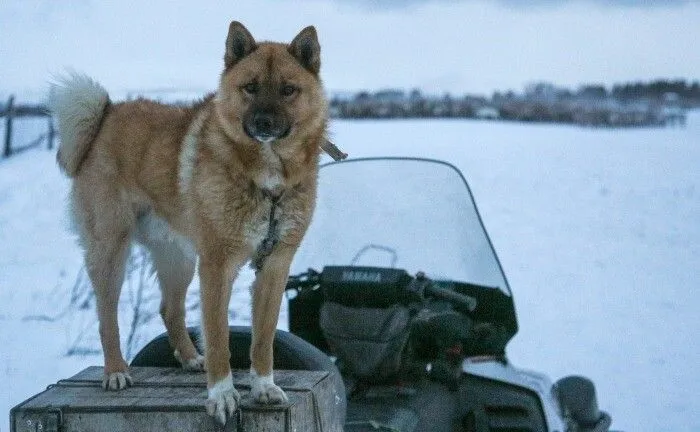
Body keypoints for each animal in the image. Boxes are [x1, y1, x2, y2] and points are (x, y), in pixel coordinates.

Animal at [49, 22, 328, 424]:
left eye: (288, 89)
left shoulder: (275, 266)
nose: (263, 122)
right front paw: (222, 395)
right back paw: (116, 371)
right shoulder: (217, 267)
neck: (267, 179)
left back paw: (190, 358)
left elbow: (262, 340)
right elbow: (219, 338)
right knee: (107, 315)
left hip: (178, 257)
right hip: (111, 250)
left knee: (170, 309)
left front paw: (263, 387)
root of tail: (106, 114)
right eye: (250, 87)